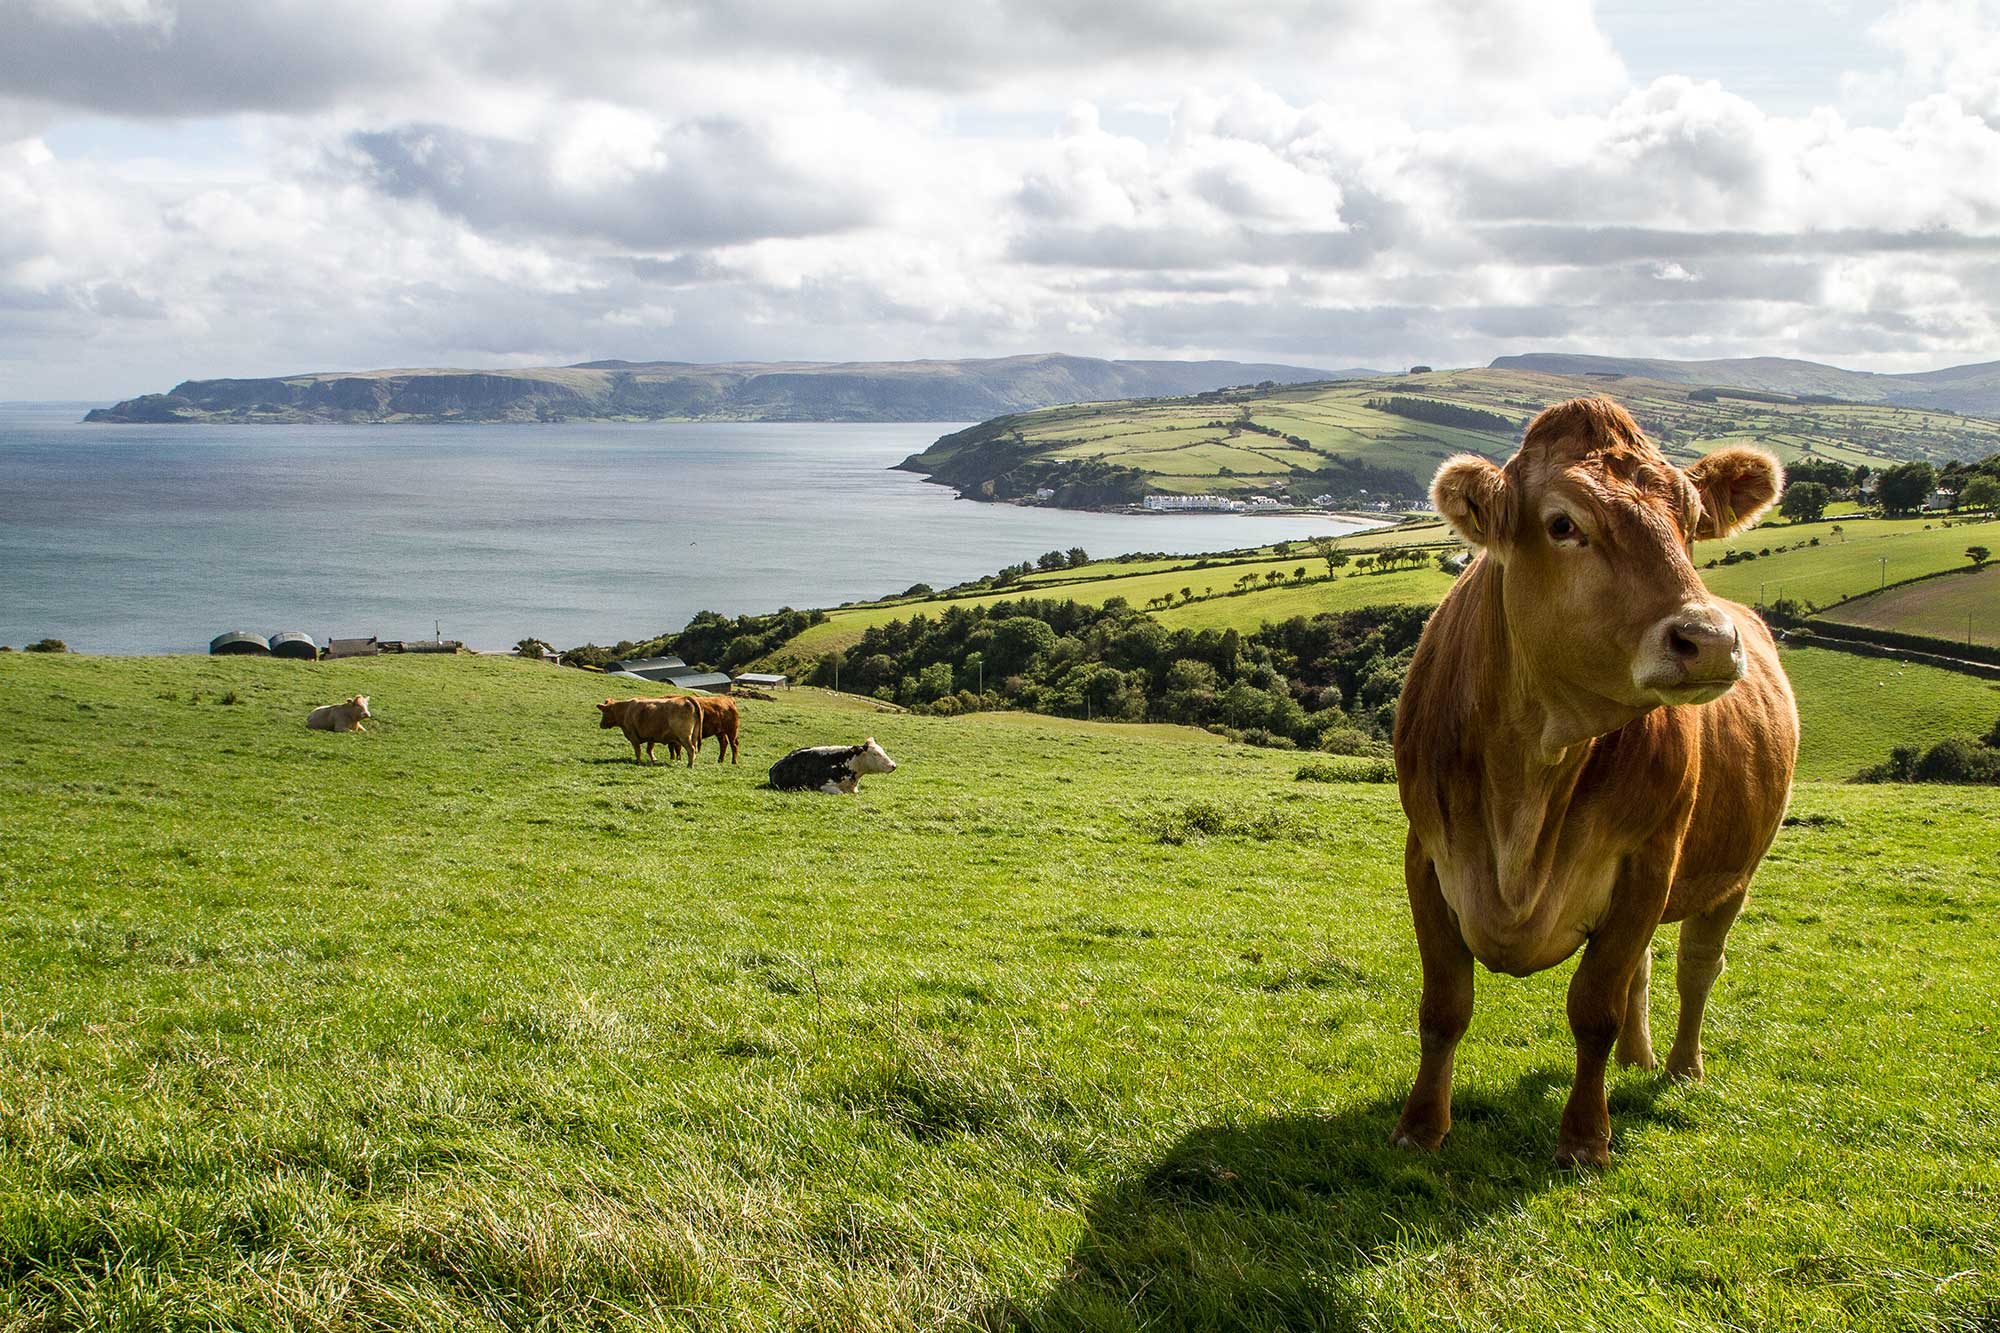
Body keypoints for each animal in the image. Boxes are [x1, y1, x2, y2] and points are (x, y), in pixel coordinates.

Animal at [1392, 394, 1800, 1160]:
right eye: (1563, 524)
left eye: (1692, 523)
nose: (1709, 641)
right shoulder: (1427, 854)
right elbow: (1444, 1004)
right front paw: (1421, 1126)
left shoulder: (1647, 862)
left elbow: (1594, 1008)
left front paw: (1585, 1138)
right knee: (1646, 968)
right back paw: (1640, 1059)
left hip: (1735, 870)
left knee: (1696, 966)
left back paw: (1679, 1067)